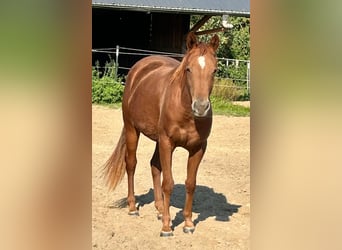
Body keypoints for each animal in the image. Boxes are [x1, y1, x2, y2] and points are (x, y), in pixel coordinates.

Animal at [103, 32, 219, 237]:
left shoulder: (198, 148)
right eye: (188, 69)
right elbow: (168, 183)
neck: (186, 112)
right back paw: (132, 207)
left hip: (157, 139)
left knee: (154, 166)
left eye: (214, 70)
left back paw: (159, 208)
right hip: (132, 129)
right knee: (131, 164)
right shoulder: (167, 143)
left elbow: (190, 183)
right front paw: (166, 227)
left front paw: (188, 223)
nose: (201, 107)